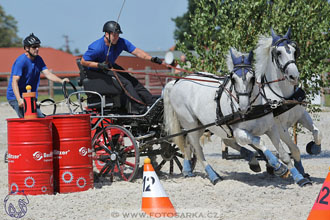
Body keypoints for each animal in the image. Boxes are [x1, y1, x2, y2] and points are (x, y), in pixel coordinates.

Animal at [164, 49, 292, 185]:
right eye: (233, 79)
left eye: (252, 78)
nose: (243, 107)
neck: (254, 110)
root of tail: (177, 82)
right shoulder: (239, 133)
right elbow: (259, 141)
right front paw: (278, 167)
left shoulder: (271, 129)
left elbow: (284, 154)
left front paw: (298, 177)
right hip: (190, 123)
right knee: (198, 149)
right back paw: (213, 176)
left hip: (201, 125)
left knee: (189, 142)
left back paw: (188, 170)